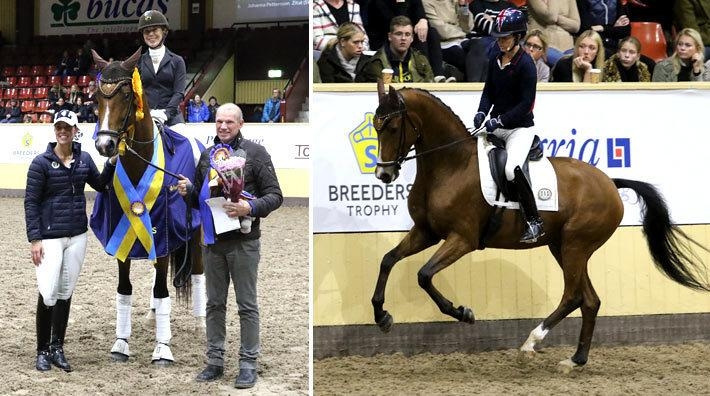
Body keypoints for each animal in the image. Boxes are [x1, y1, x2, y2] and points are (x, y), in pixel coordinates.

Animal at [88, 49, 204, 366]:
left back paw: (201, 323)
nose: (105, 145)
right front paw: (121, 344)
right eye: (97, 97)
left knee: (198, 272)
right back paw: (153, 316)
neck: (140, 163)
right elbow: (125, 290)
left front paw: (162, 349)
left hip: (196, 232)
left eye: (127, 94)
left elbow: (163, 291)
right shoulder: (122, 235)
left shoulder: (164, 231)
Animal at [372, 82, 710, 370]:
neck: (450, 165)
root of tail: (610, 184)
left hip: (576, 246)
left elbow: (424, 275)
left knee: (573, 296)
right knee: (589, 300)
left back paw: (531, 342)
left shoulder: (462, 239)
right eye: (375, 126)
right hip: (563, 246)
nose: (384, 175)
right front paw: (382, 317)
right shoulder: (426, 232)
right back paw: (575, 360)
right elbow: (388, 260)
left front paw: (464, 313)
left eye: (392, 127)